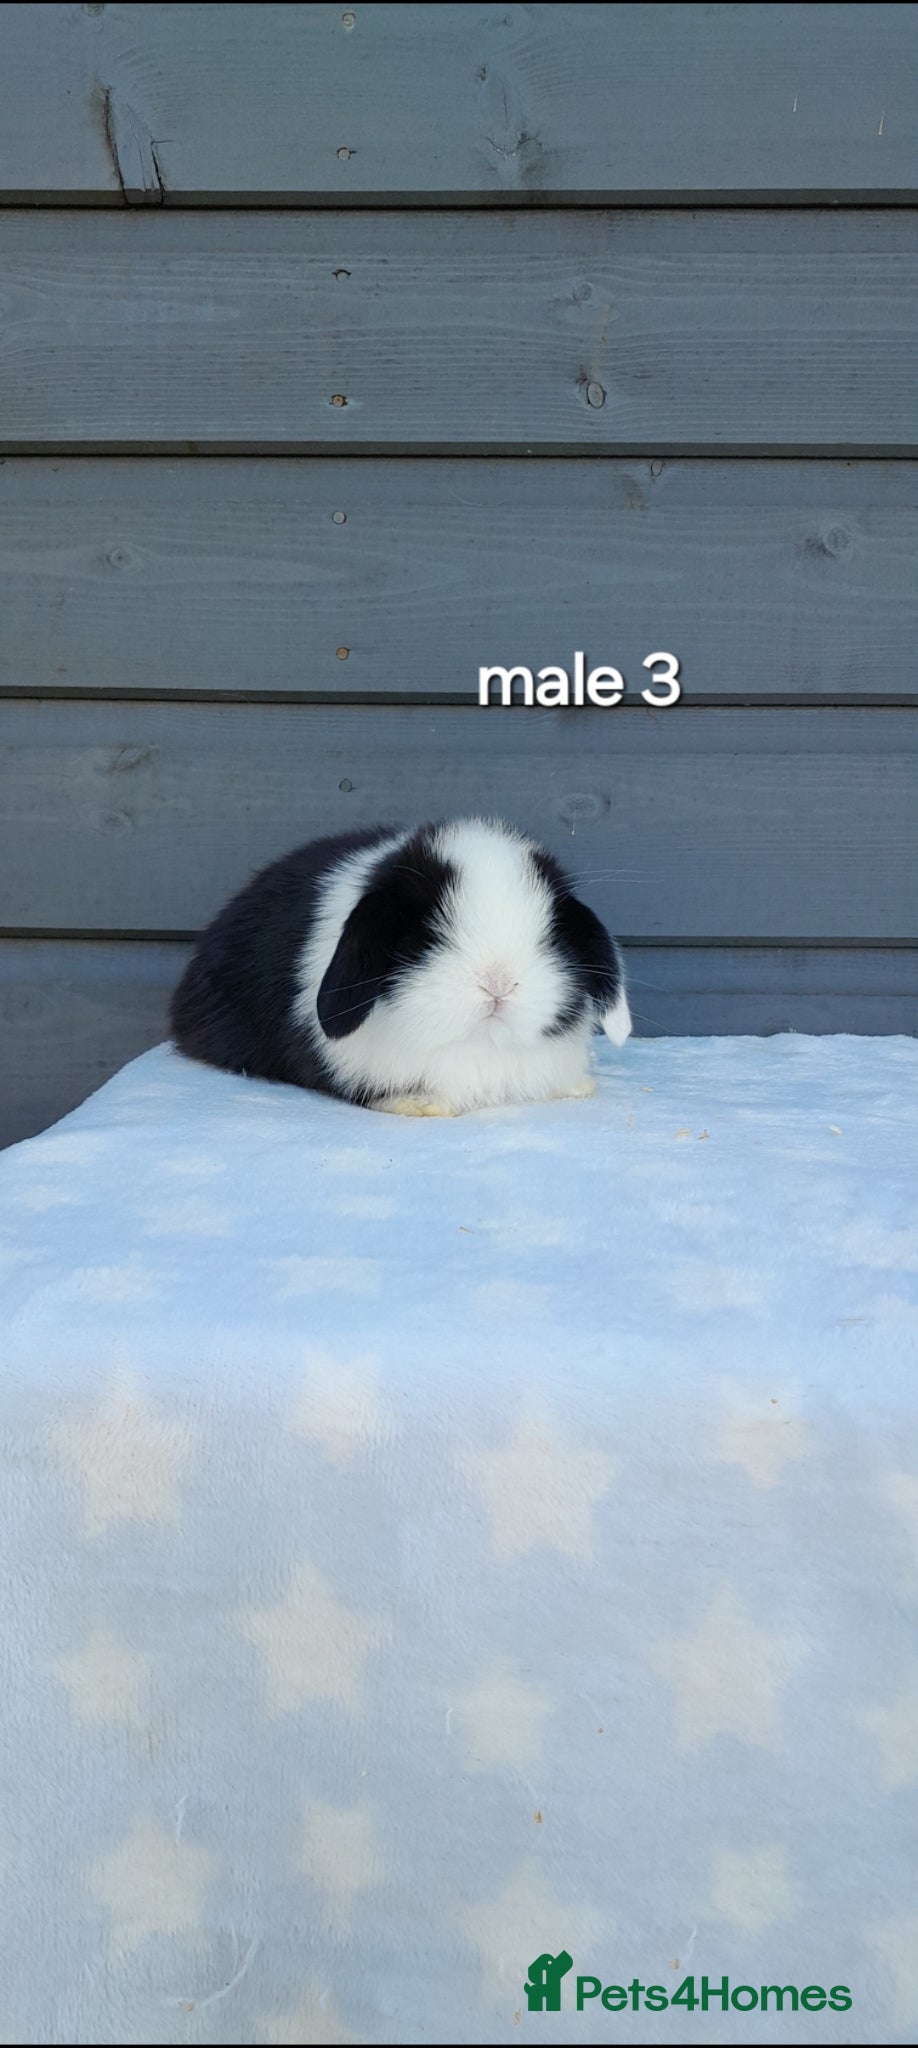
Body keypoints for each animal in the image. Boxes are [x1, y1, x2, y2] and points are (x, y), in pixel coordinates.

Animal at [169, 817, 632, 1116]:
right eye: (427, 935)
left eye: (549, 935)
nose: (496, 982)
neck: (478, 1046)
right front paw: (418, 1105)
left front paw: (575, 1088)